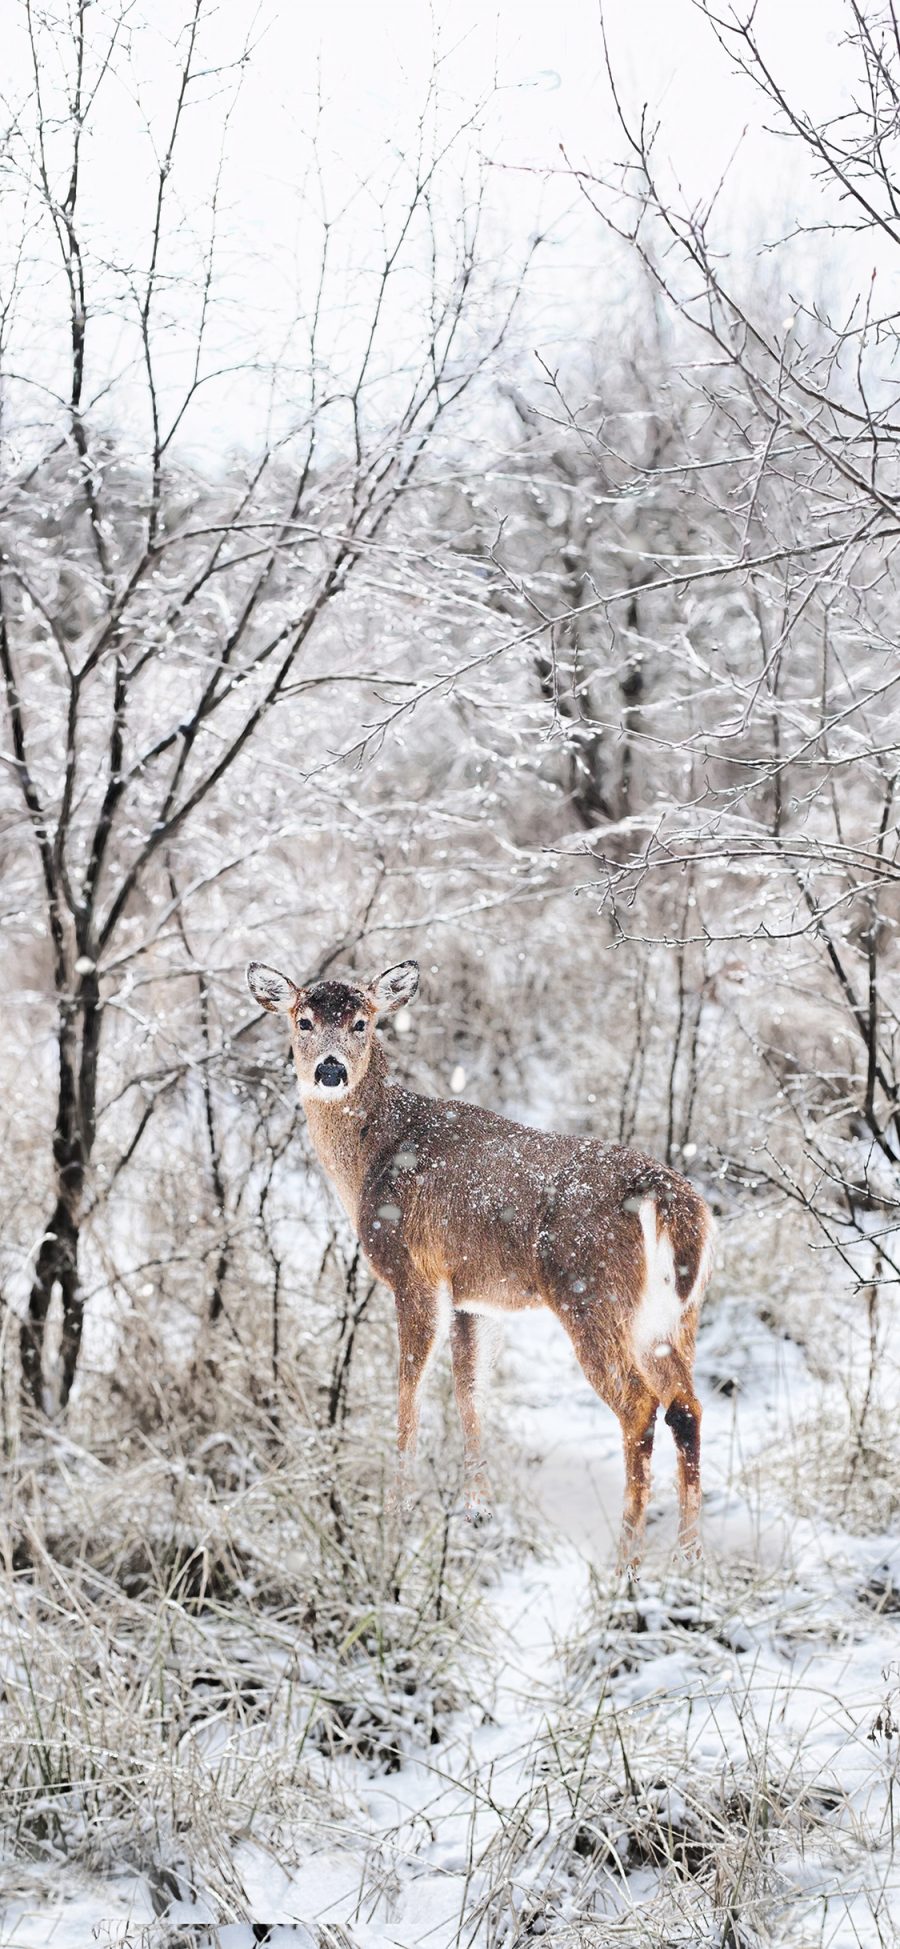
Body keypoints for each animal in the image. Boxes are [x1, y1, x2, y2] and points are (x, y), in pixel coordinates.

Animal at [247, 958, 716, 1566]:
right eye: (303, 1020)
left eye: (361, 1023)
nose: (330, 1071)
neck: (373, 1156)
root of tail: (670, 1201)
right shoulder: (474, 1294)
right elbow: (469, 1390)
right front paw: (478, 1508)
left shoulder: (414, 1272)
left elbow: (410, 1386)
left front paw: (397, 1512)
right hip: (674, 1316)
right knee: (686, 1405)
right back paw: (689, 1559)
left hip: (591, 1294)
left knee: (640, 1406)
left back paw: (624, 1563)